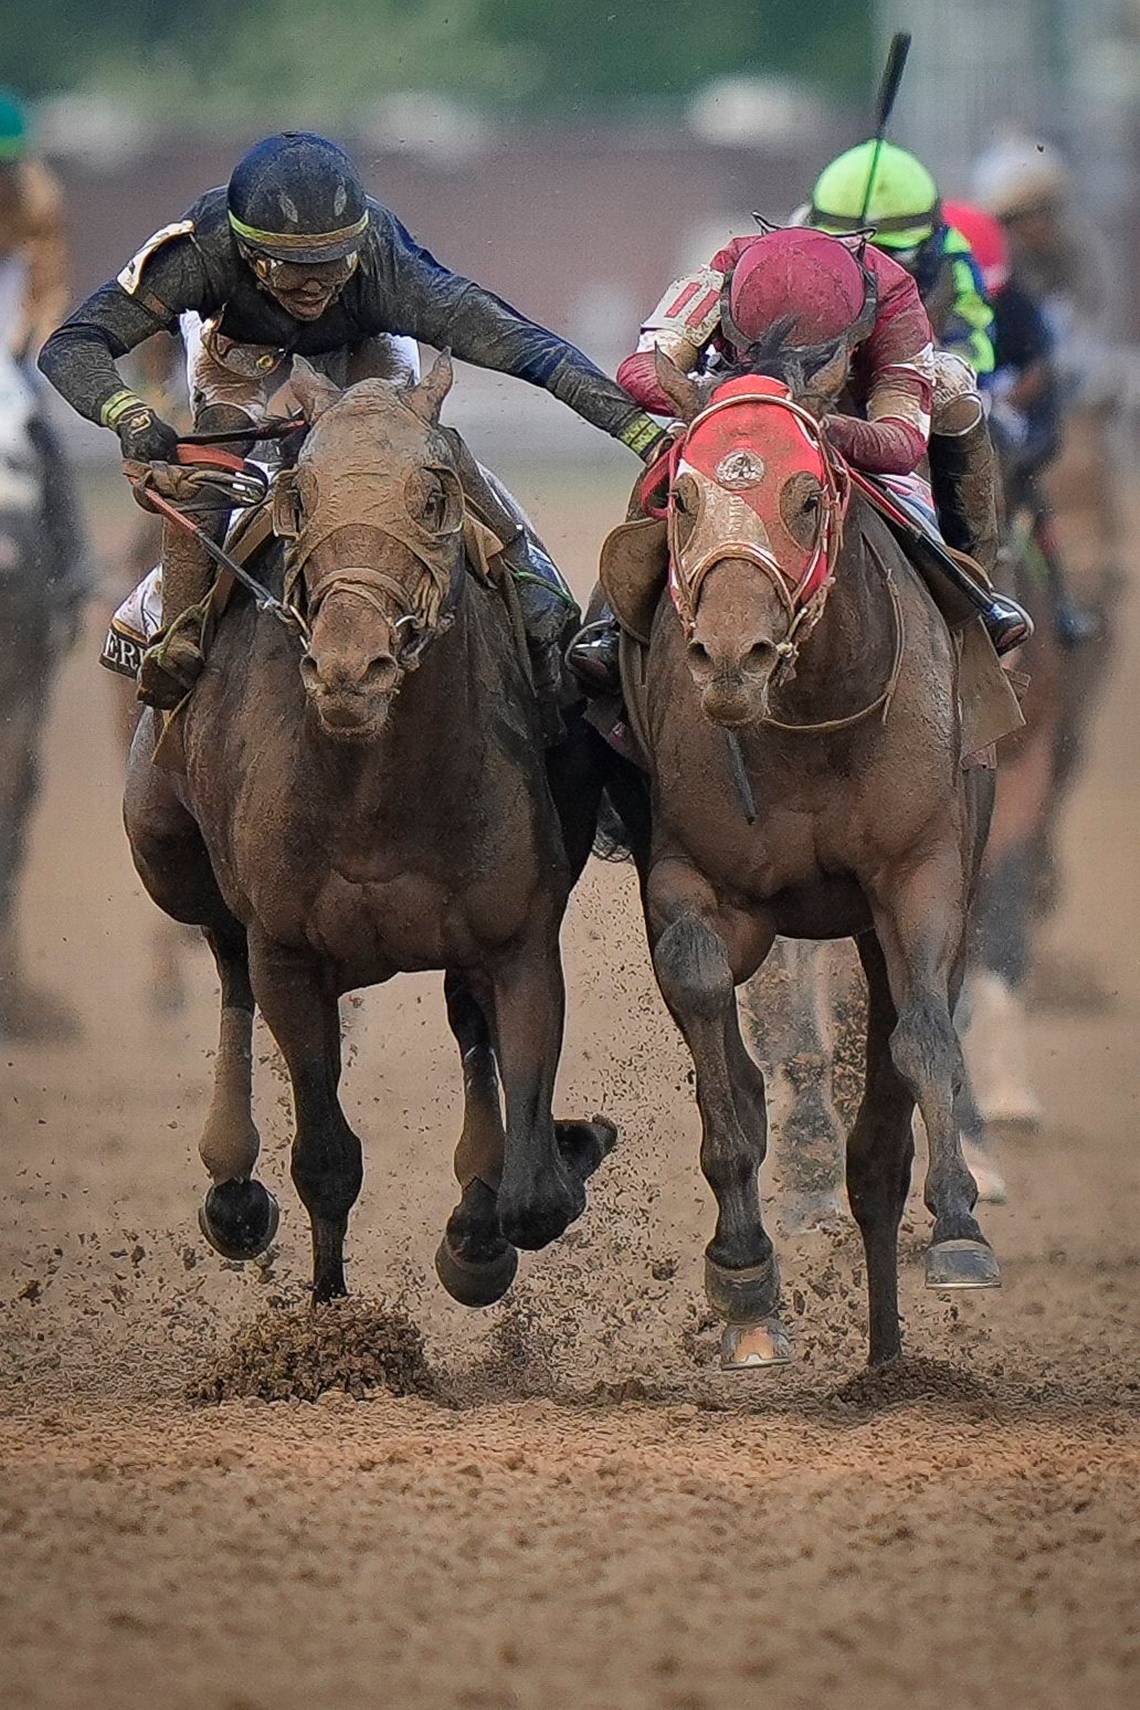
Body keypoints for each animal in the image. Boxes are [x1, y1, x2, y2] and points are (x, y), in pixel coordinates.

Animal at [123, 353, 615, 1299]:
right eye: (300, 496)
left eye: (434, 492)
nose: (351, 668)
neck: (376, 799)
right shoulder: (289, 950)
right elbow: (325, 1158)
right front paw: (331, 1315)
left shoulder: (519, 939)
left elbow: (536, 1194)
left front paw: (524, 1189)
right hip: (164, 851)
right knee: (225, 961)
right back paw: (233, 1189)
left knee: (466, 1025)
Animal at [611, 350, 1004, 1374]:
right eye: (681, 497)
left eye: (809, 495)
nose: (730, 657)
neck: (813, 713)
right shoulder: (697, 881)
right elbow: (710, 1012)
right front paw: (746, 1275)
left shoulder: (921, 872)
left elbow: (925, 1034)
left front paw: (960, 1231)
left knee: (888, 1114)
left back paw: (889, 1352)